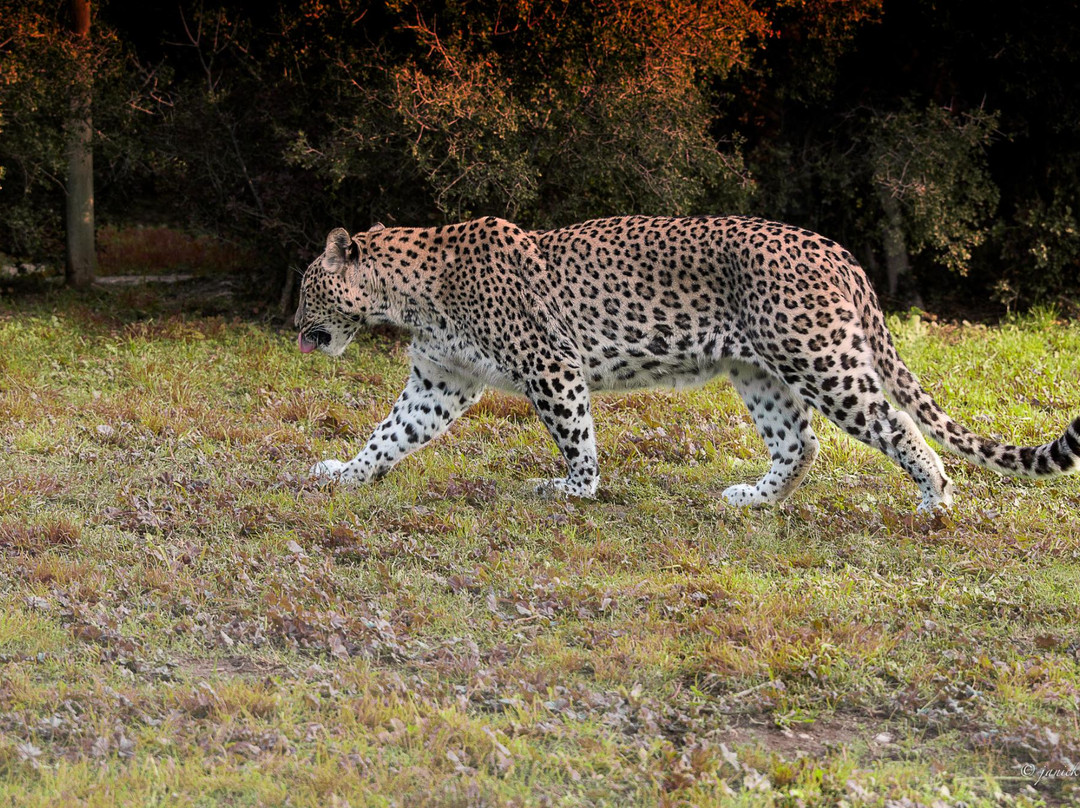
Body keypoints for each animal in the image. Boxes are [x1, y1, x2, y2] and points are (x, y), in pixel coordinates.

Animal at [295, 214, 1080, 512]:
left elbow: (575, 434)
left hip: (822, 359)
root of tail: (842, 253)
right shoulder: (441, 381)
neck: (408, 293)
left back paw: (934, 500)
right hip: (762, 372)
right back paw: (755, 499)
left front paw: (575, 489)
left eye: (306, 288)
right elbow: (390, 433)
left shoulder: (552, 365)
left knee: (894, 425)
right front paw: (345, 473)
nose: (297, 330)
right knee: (801, 444)